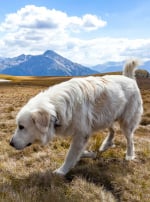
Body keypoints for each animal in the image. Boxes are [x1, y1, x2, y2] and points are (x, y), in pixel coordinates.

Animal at [9, 59, 143, 175]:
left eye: (21, 127)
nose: (10, 143)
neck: (56, 110)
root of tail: (129, 79)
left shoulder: (81, 134)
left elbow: (70, 154)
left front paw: (61, 171)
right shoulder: (81, 134)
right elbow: (77, 152)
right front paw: (87, 154)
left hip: (126, 123)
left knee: (130, 140)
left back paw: (129, 156)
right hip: (107, 116)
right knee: (112, 130)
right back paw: (106, 144)